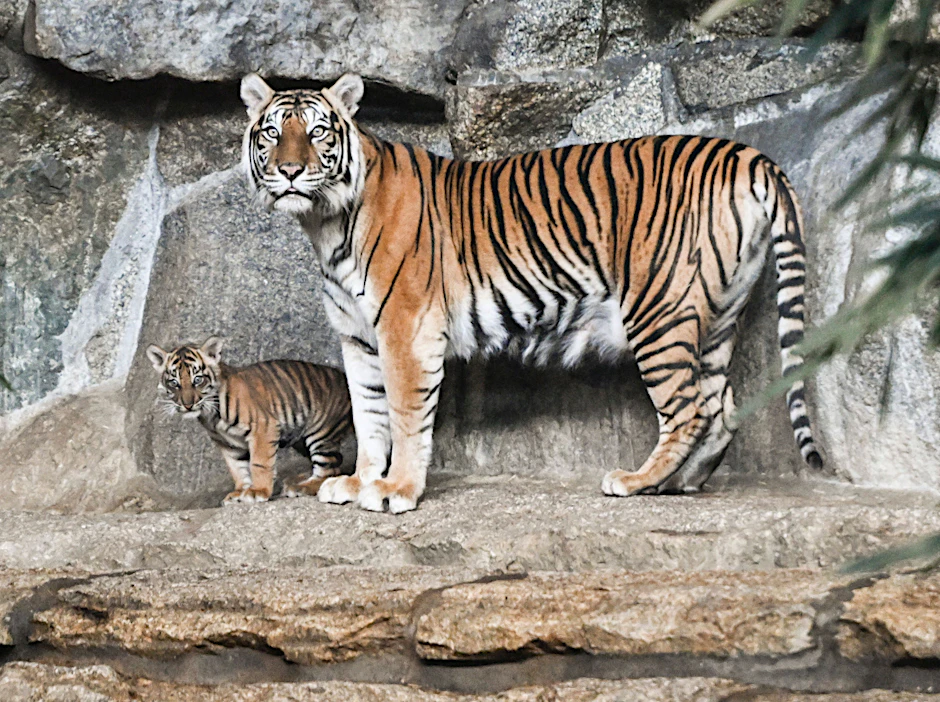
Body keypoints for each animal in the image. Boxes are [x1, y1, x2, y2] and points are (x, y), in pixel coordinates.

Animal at [146, 337, 353, 504]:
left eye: (197, 380)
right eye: (174, 383)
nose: (188, 405)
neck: (211, 415)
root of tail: (344, 375)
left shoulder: (263, 428)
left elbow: (259, 463)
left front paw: (258, 491)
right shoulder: (227, 443)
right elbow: (237, 468)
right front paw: (239, 492)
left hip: (321, 433)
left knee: (329, 468)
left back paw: (302, 487)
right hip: (300, 439)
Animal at [239, 72, 823, 514]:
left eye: (318, 132)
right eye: (272, 133)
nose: (290, 171)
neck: (324, 224)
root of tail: (745, 155)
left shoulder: (405, 327)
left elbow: (403, 414)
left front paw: (395, 491)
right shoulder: (358, 338)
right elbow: (368, 413)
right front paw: (359, 483)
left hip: (659, 310)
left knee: (690, 406)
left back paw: (638, 481)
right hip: (718, 313)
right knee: (721, 404)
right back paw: (677, 483)